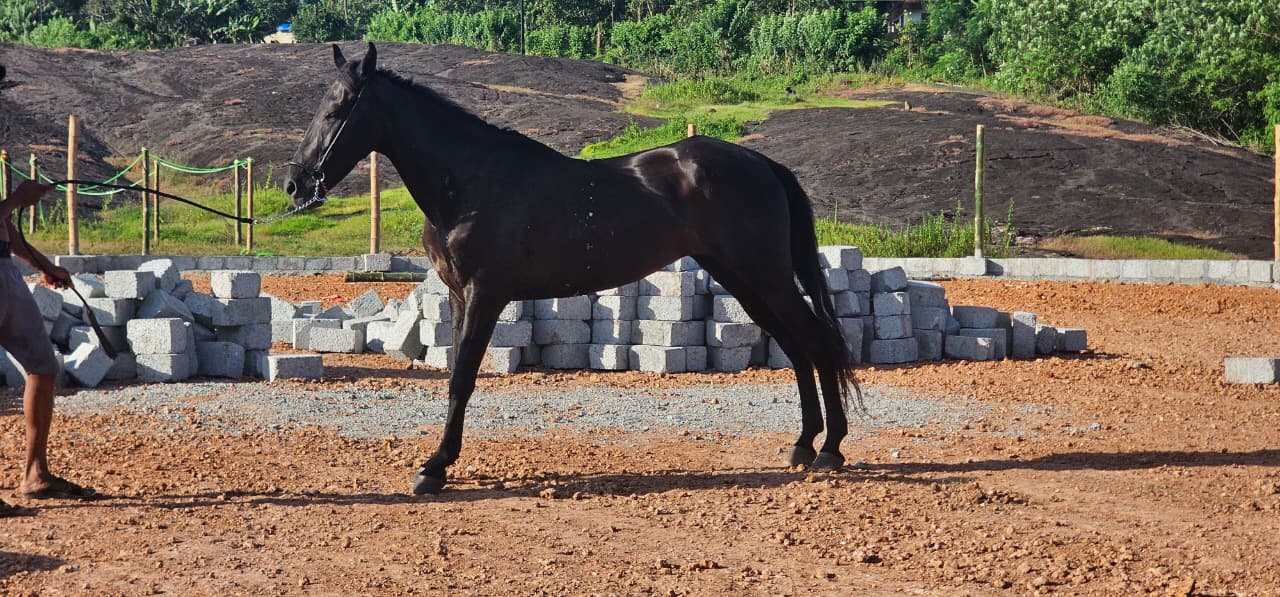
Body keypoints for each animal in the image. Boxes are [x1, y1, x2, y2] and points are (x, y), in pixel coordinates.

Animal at [284, 43, 861, 495]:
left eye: (338, 109)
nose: (295, 184)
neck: (471, 181)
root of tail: (763, 164)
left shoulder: (485, 294)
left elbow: (463, 379)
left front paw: (434, 468)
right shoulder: (457, 295)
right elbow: (453, 375)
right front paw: (439, 462)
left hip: (764, 276)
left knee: (814, 340)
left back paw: (830, 447)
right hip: (744, 280)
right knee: (798, 346)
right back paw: (803, 444)